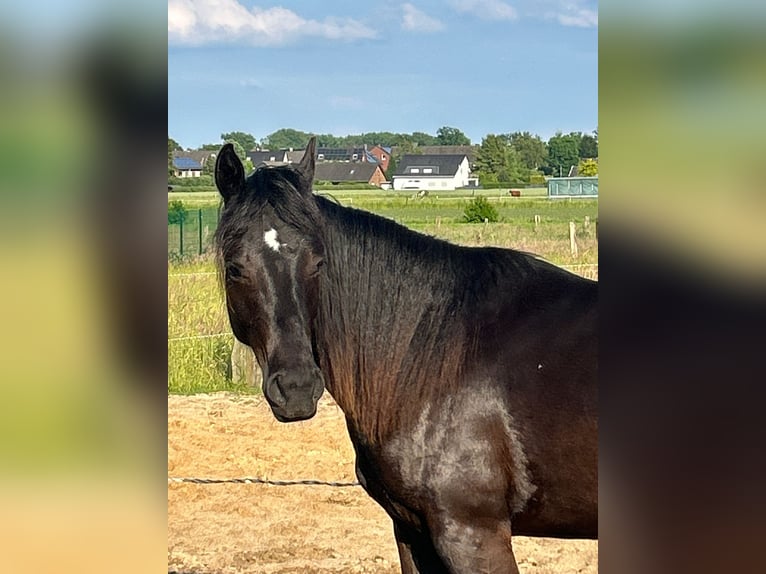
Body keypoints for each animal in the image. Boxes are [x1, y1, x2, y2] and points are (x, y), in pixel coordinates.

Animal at [213, 137, 596, 572]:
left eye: (318, 263)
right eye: (235, 268)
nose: (296, 389)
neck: (438, 361)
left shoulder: (472, 535)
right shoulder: (411, 530)